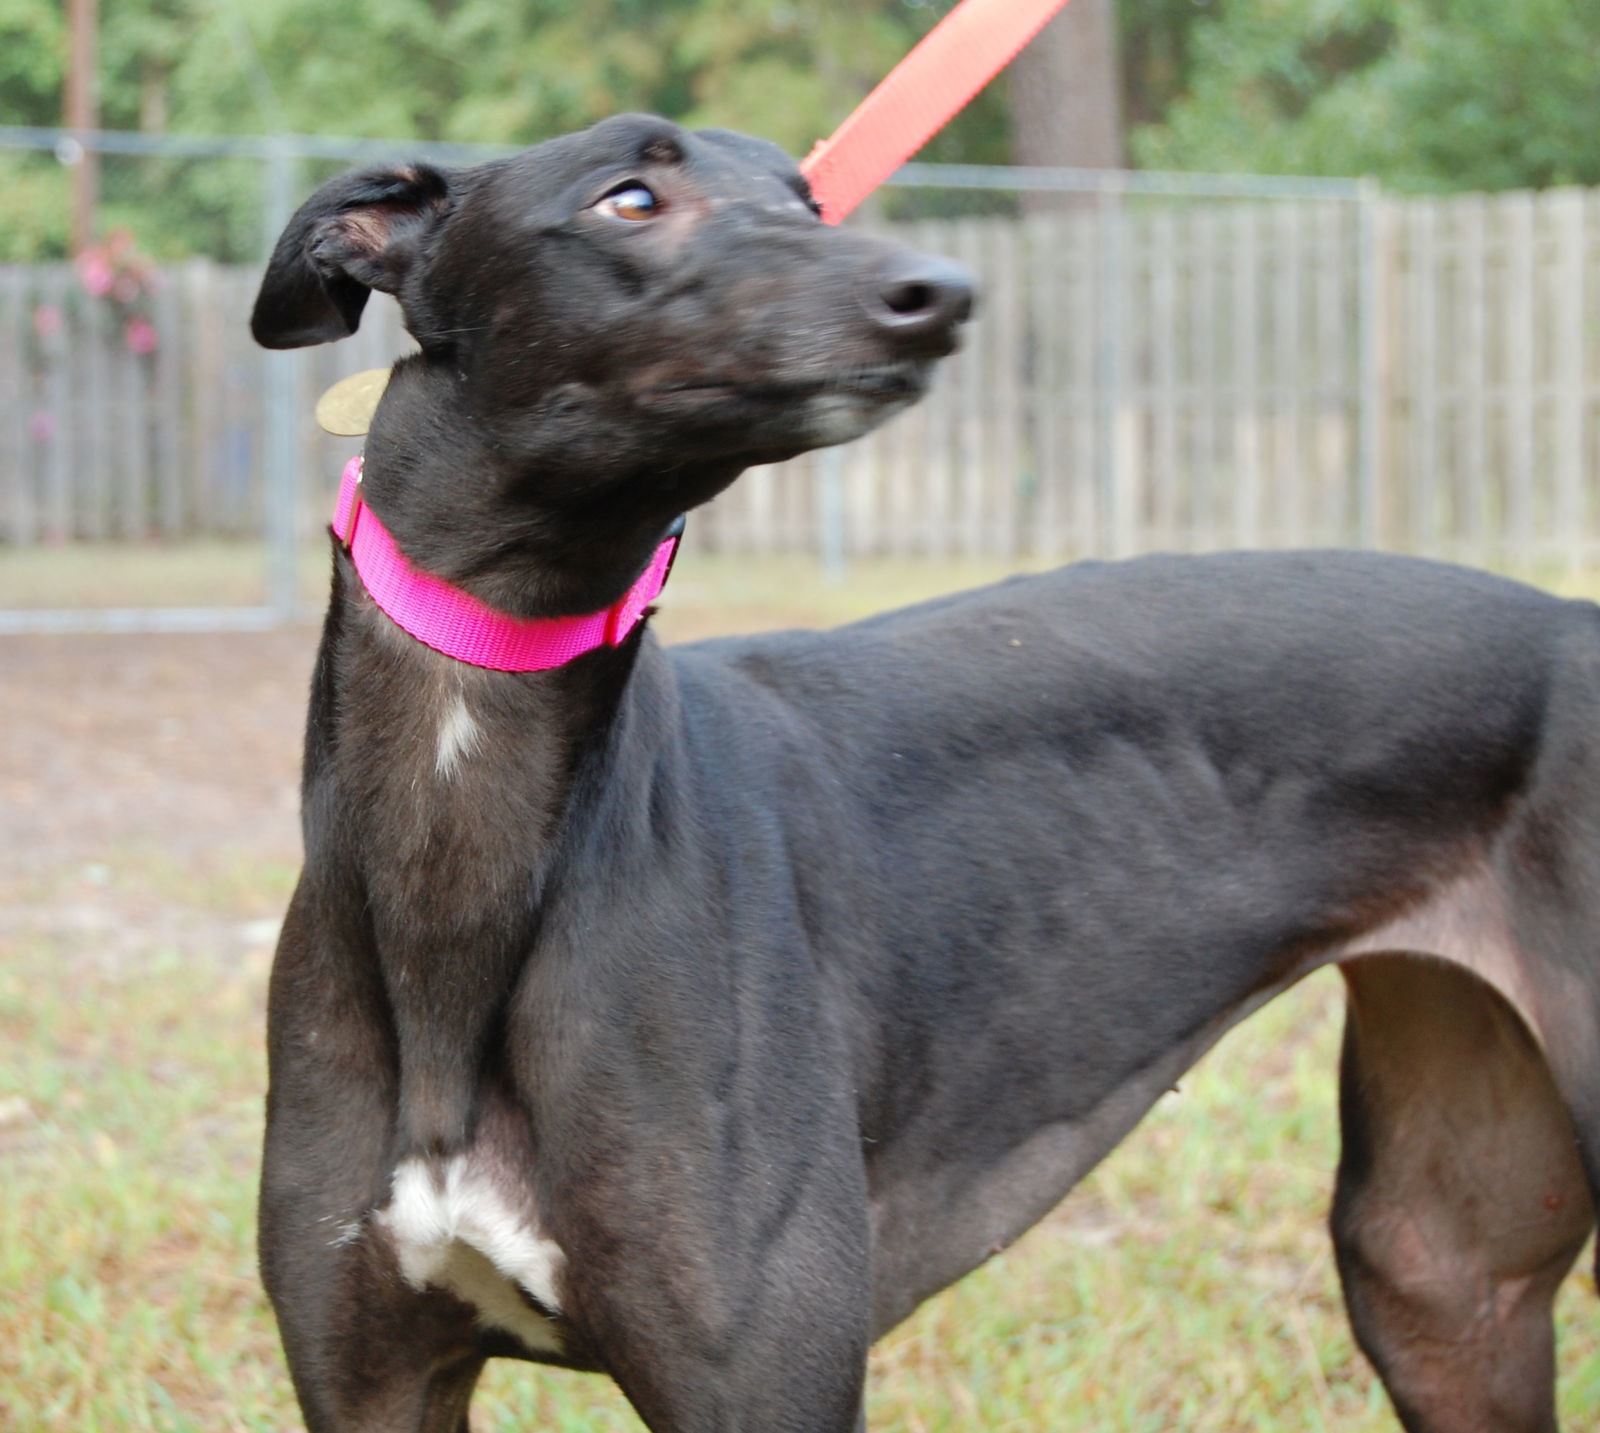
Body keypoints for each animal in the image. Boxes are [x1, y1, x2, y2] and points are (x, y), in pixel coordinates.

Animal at [249, 115, 1600, 1433]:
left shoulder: (764, 1384)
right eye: (628, 197)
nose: (936, 292)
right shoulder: (370, 1377)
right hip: (1440, 1275)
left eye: (805, 199)